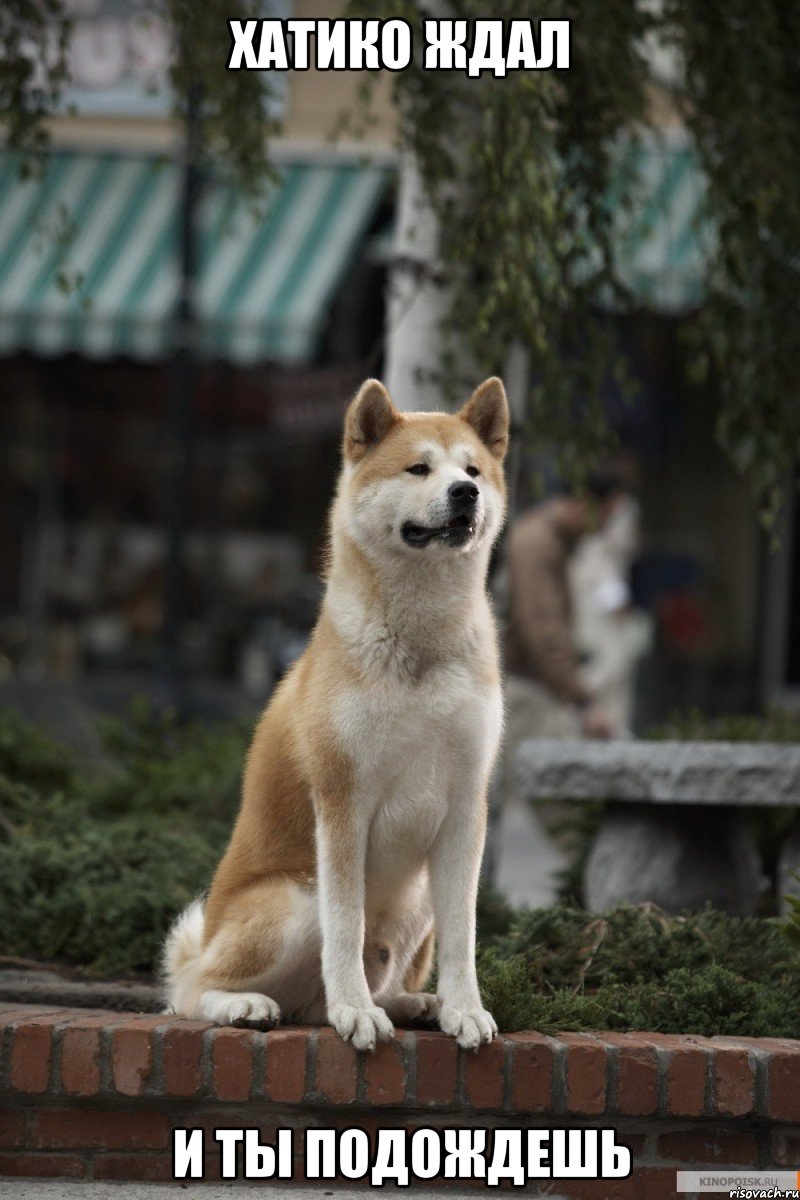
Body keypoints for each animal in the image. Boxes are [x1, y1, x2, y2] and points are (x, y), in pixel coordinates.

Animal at [165, 376, 510, 1051]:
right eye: (418, 468)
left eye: (473, 470)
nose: (466, 493)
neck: (420, 644)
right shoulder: (343, 801)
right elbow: (346, 928)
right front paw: (355, 1011)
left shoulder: (466, 807)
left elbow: (465, 935)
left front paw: (464, 1008)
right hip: (296, 900)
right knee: (189, 990)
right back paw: (250, 1005)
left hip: (417, 900)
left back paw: (415, 1004)